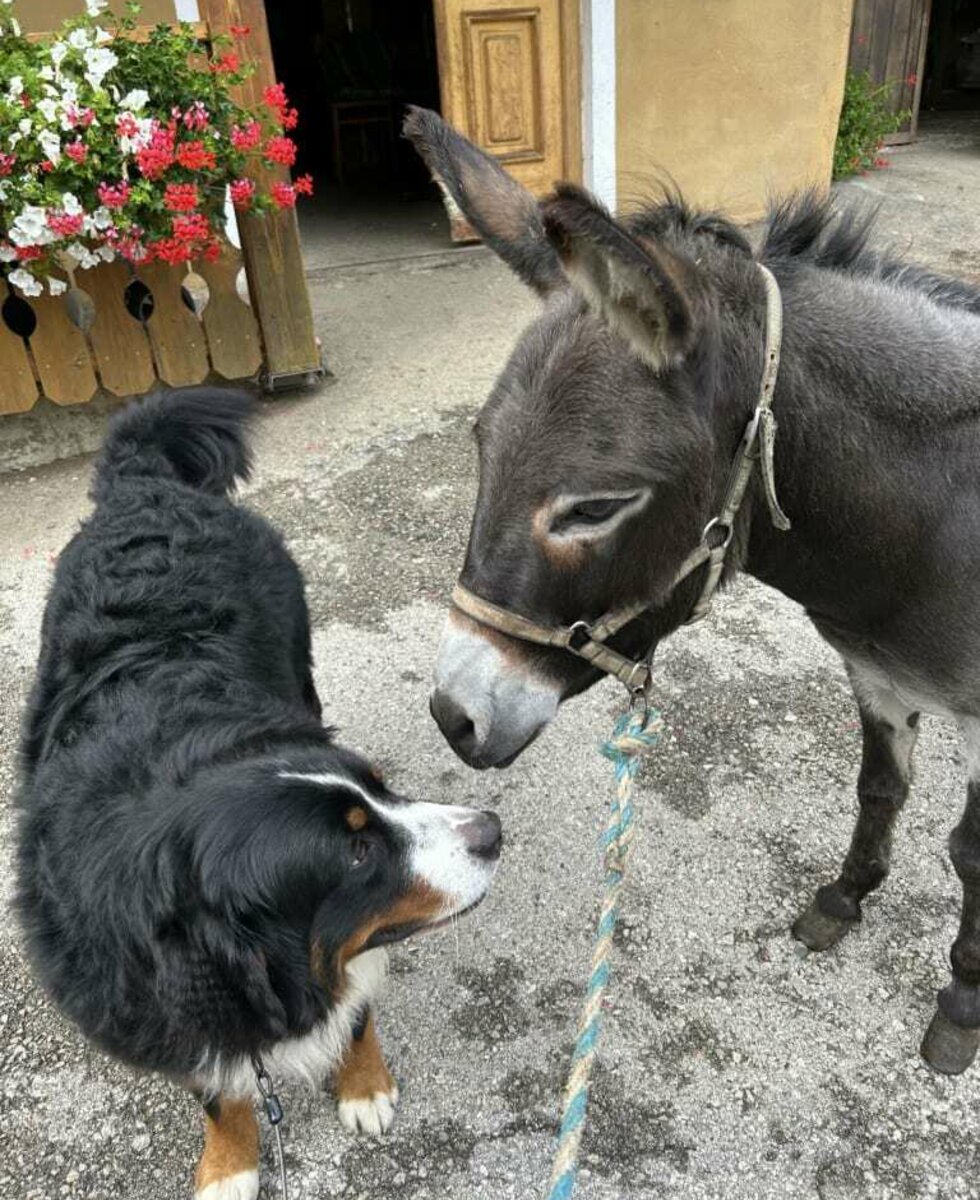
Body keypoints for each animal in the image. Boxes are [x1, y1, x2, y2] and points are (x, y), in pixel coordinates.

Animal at [15, 388, 501, 1195]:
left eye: (381, 788)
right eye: (358, 853)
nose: (491, 830)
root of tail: (144, 484)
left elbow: (354, 1007)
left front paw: (363, 1085)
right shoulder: (173, 1002)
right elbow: (220, 1089)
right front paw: (229, 1163)